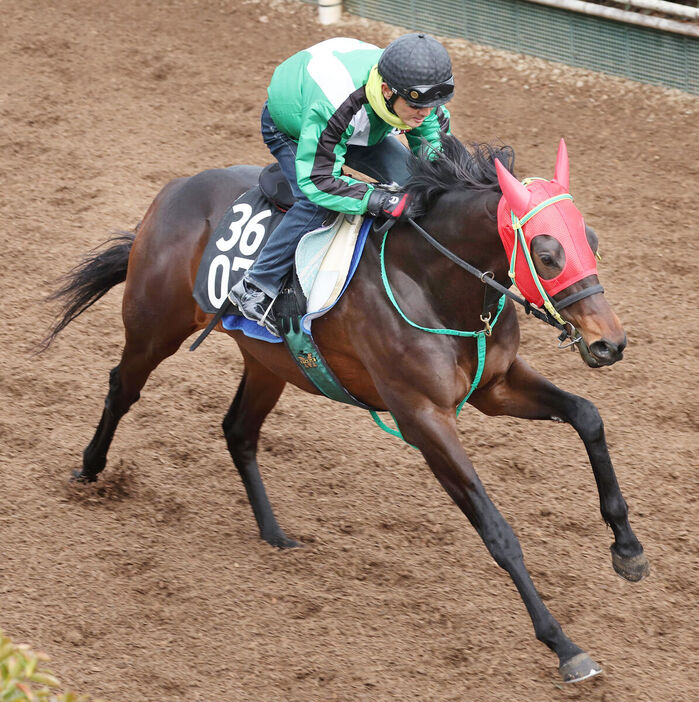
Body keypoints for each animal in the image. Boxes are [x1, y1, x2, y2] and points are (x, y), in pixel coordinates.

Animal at [43, 135, 652, 684]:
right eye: (548, 255)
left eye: (592, 241)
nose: (610, 343)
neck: (432, 280)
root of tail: (176, 189)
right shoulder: (422, 416)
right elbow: (497, 530)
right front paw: (564, 645)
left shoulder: (495, 387)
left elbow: (588, 416)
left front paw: (627, 549)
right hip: (155, 325)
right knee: (123, 387)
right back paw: (90, 470)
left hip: (270, 362)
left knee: (238, 430)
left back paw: (275, 533)